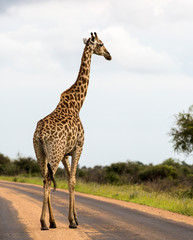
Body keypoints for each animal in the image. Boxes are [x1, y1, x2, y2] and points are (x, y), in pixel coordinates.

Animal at [33, 31, 111, 229]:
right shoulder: (79, 147)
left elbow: (68, 179)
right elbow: (74, 181)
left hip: (41, 152)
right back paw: (44, 222)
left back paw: (53, 222)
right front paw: (72, 221)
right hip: (54, 152)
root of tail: (40, 134)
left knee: (44, 179)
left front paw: (74, 218)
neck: (77, 105)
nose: (109, 55)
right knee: (48, 181)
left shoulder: (66, 153)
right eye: (101, 43)